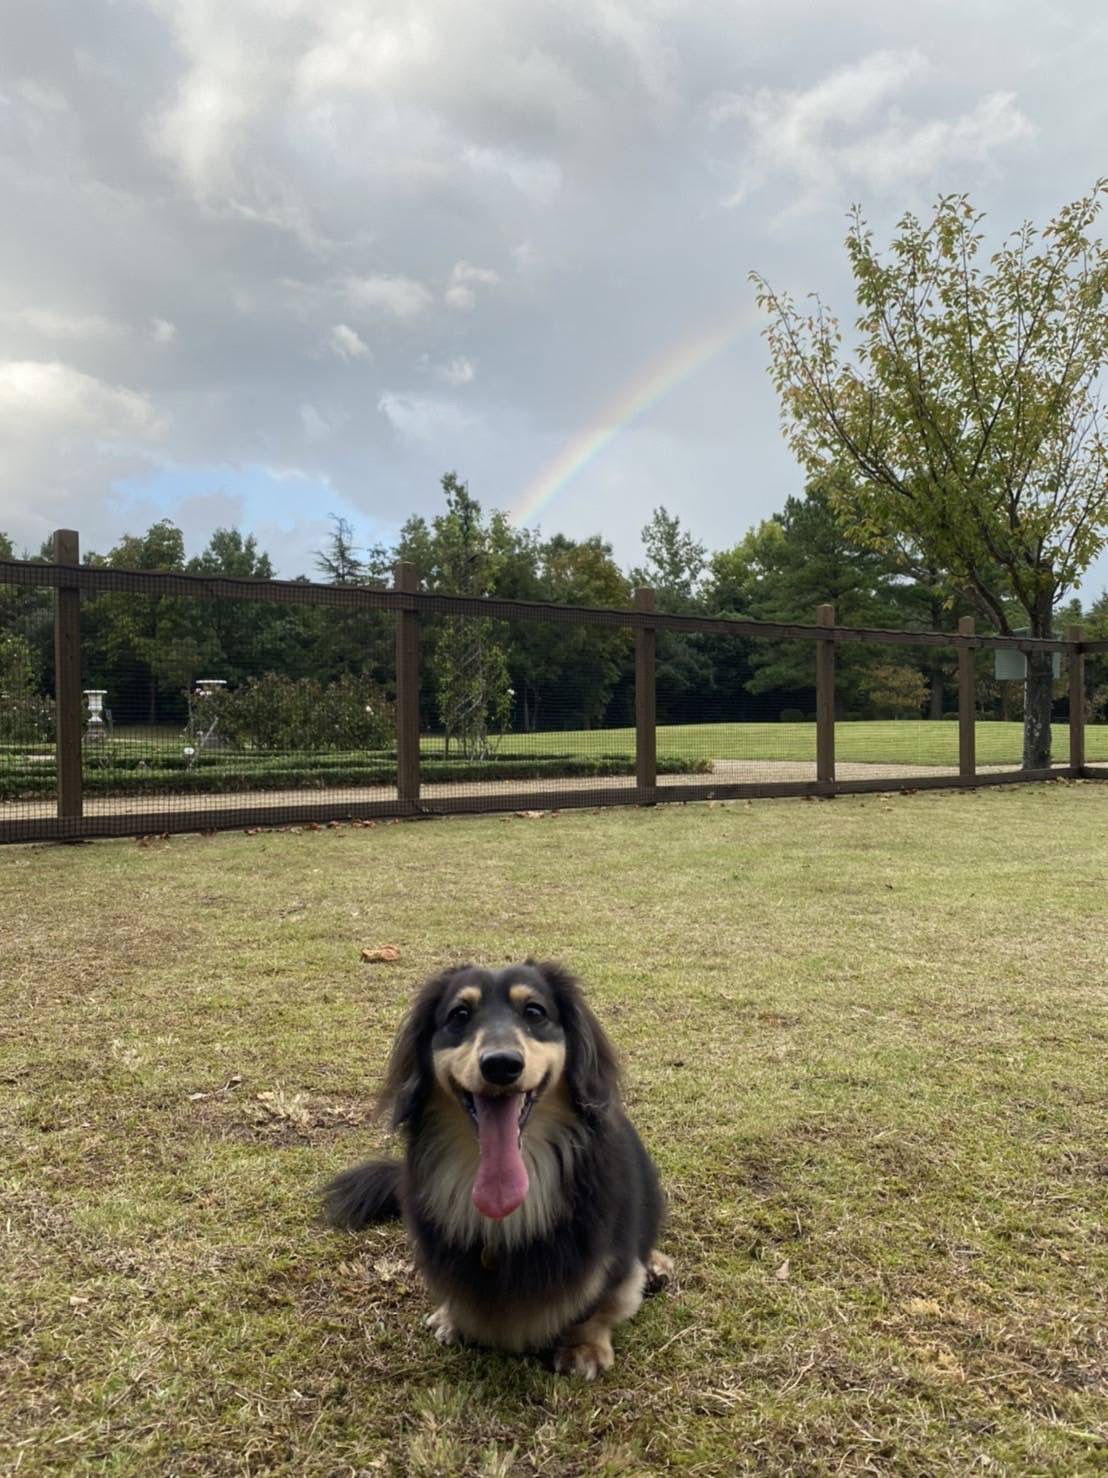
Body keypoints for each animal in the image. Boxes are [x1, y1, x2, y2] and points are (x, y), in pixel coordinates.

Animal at [320, 957, 667, 1371]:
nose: (501, 1065)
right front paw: (453, 1317)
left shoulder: (614, 1258)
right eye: (459, 1015)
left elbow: (603, 1304)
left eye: (534, 1012)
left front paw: (585, 1345)